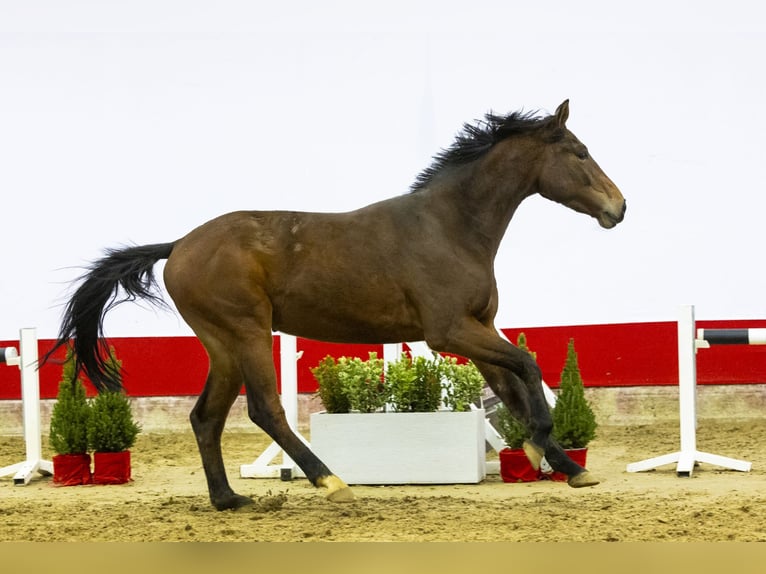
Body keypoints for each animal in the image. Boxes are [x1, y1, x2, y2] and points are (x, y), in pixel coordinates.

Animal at [45, 101, 628, 510]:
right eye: (579, 152)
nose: (619, 207)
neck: (451, 226)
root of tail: (178, 246)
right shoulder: (450, 330)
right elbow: (528, 367)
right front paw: (540, 449)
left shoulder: (480, 326)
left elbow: (512, 389)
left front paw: (565, 465)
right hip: (248, 332)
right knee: (265, 410)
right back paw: (330, 482)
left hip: (223, 346)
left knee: (205, 417)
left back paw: (229, 500)